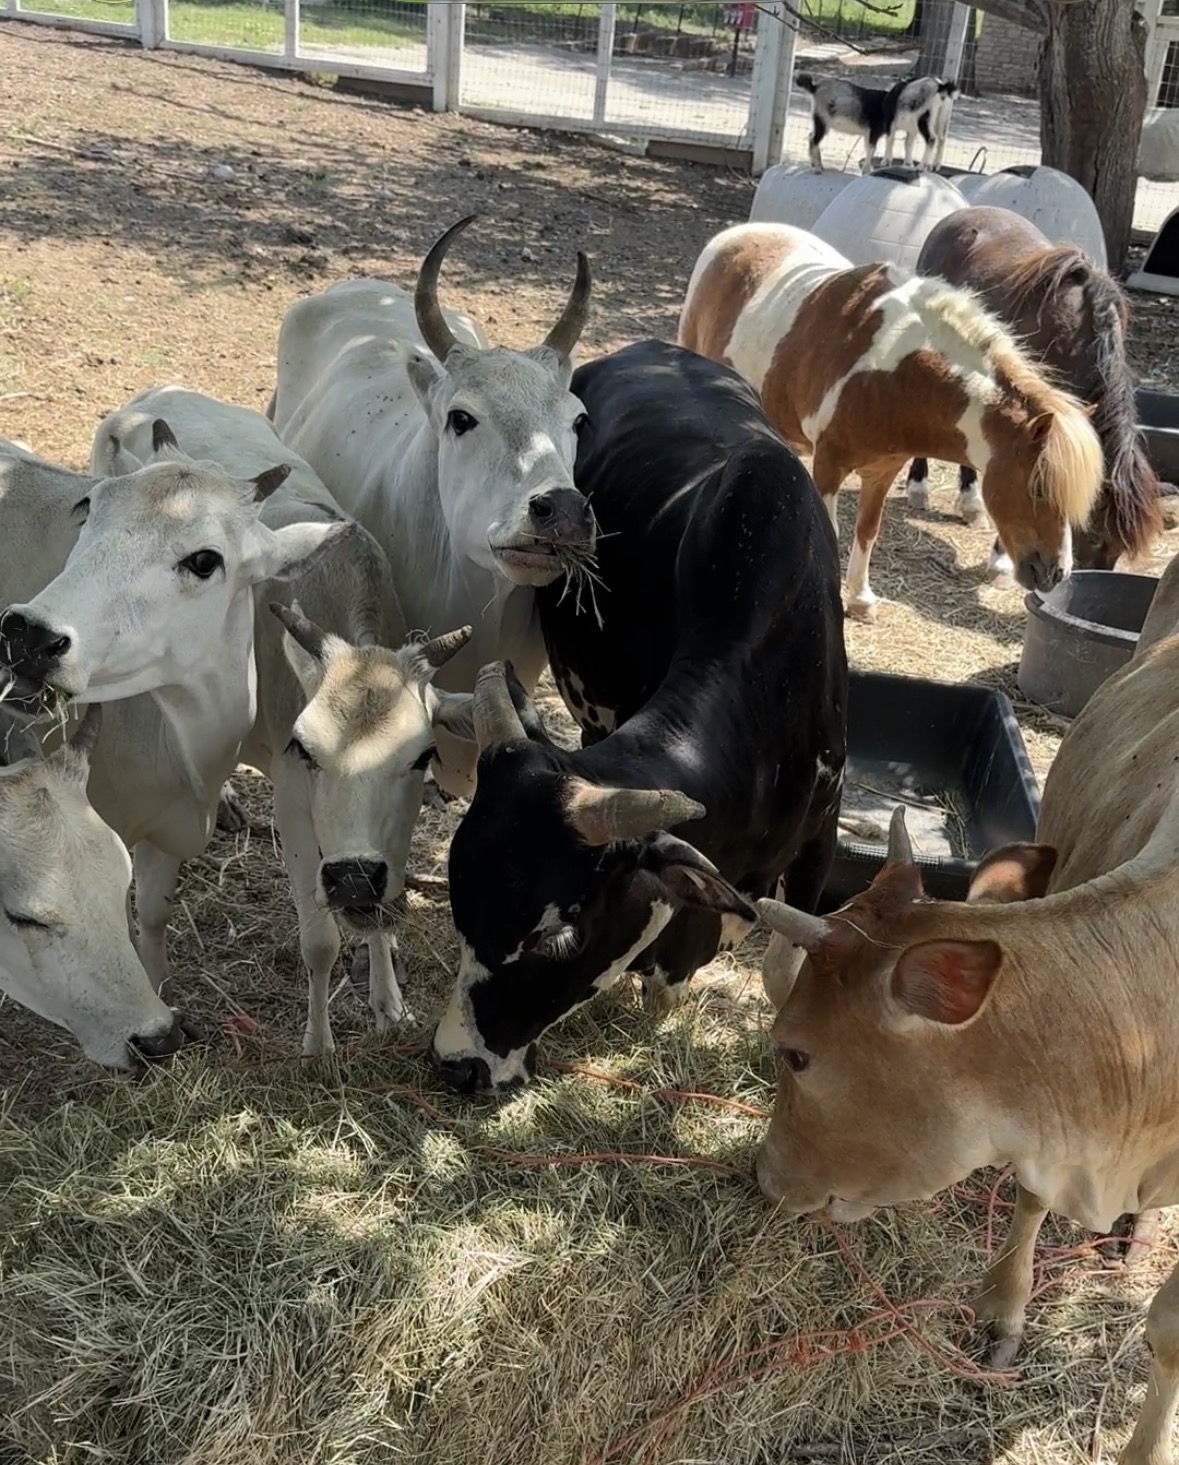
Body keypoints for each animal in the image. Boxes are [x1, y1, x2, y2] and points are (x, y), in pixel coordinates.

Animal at [91, 386, 477, 1055]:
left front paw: (388, 1003)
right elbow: (319, 941)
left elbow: (381, 915)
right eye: (305, 749)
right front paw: (318, 1046)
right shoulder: (295, 802)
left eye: (423, 756)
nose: (352, 879)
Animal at [678, 222, 1103, 621]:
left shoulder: (883, 471)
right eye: (1038, 489)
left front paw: (860, 599)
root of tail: (735, 235)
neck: (894, 371)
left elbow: (867, 531)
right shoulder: (829, 466)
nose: (1056, 573)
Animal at [905, 206, 1162, 575]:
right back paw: (919, 488)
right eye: (1095, 536)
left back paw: (971, 504)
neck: (1079, 334)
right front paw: (1001, 564)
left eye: (1119, 548)